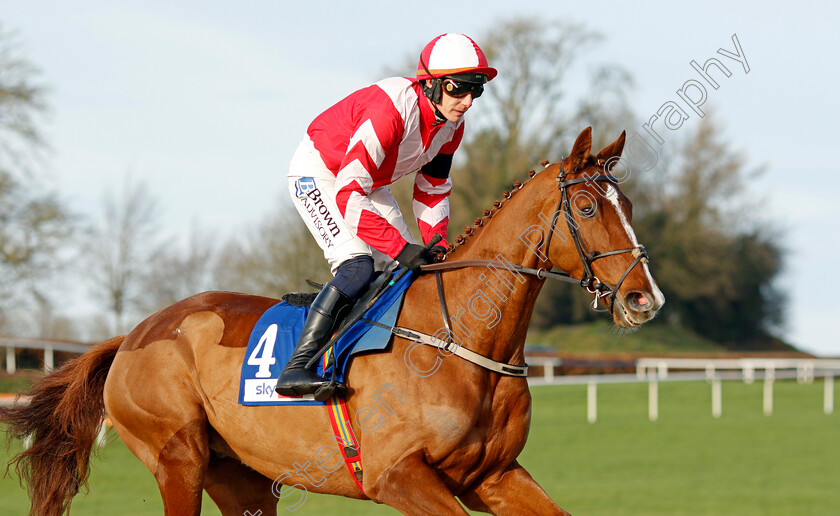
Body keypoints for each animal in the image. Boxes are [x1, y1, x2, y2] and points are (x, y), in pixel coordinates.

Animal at [3, 126, 668, 516]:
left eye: (630, 205)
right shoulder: (398, 476)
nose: (645, 299)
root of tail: (132, 335)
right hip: (177, 458)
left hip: (242, 476)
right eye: (587, 207)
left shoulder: (495, 475)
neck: (459, 339)